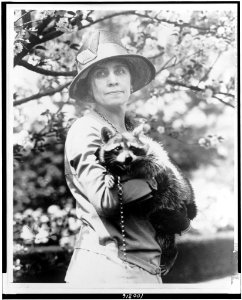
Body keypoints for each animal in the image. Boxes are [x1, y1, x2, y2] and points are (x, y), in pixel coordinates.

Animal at [94, 125, 197, 274]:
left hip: (173, 200)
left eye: (132, 148)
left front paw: (126, 174)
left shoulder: (153, 154)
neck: (125, 166)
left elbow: (151, 164)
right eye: (118, 148)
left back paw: (172, 253)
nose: (128, 158)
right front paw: (109, 174)